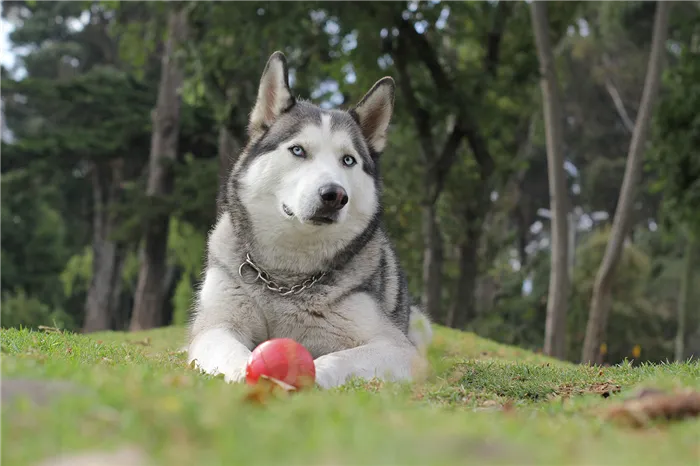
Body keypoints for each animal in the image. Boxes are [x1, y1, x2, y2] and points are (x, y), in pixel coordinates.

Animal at [189, 50, 434, 390]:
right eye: (298, 150)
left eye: (348, 160)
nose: (334, 195)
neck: (286, 280)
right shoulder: (215, 325)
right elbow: (231, 350)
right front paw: (248, 374)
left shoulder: (397, 347)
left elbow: (340, 358)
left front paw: (311, 376)